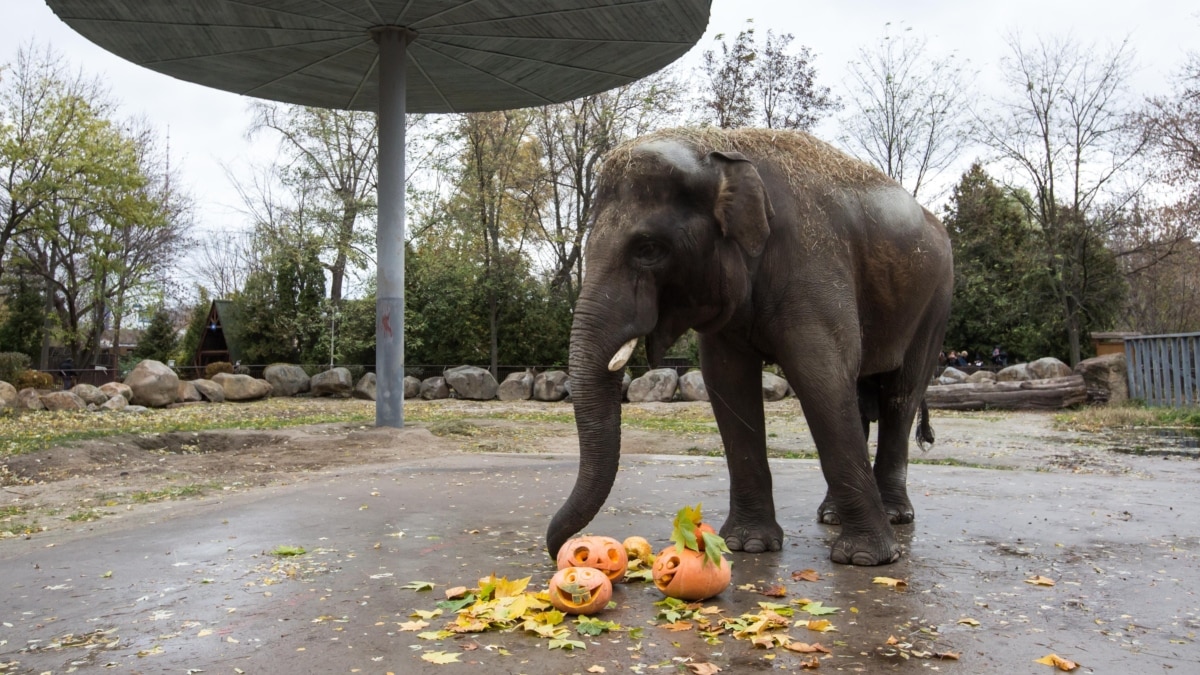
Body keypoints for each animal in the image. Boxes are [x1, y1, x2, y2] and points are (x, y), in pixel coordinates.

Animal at [549, 126, 950, 562]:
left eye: (648, 249)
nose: (564, 551)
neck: (721, 150)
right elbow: (728, 383)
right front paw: (749, 546)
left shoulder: (813, 261)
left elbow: (821, 377)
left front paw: (865, 559)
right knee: (861, 396)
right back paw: (830, 516)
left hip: (934, 302)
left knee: (900, 395)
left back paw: (893, 516)